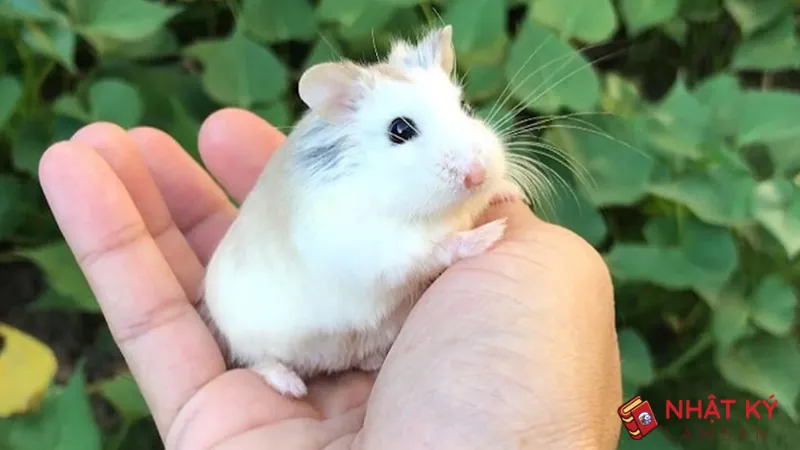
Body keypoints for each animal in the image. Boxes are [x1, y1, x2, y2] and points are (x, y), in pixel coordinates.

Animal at [199, 25, 523, 397]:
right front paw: (490, 233)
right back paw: (293, 386)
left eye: (465, 106)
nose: (477, 175)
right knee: (260, 361)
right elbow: (432, 250)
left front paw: (510, 192)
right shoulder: (375, 248)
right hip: (253, 336)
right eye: (400, 130)